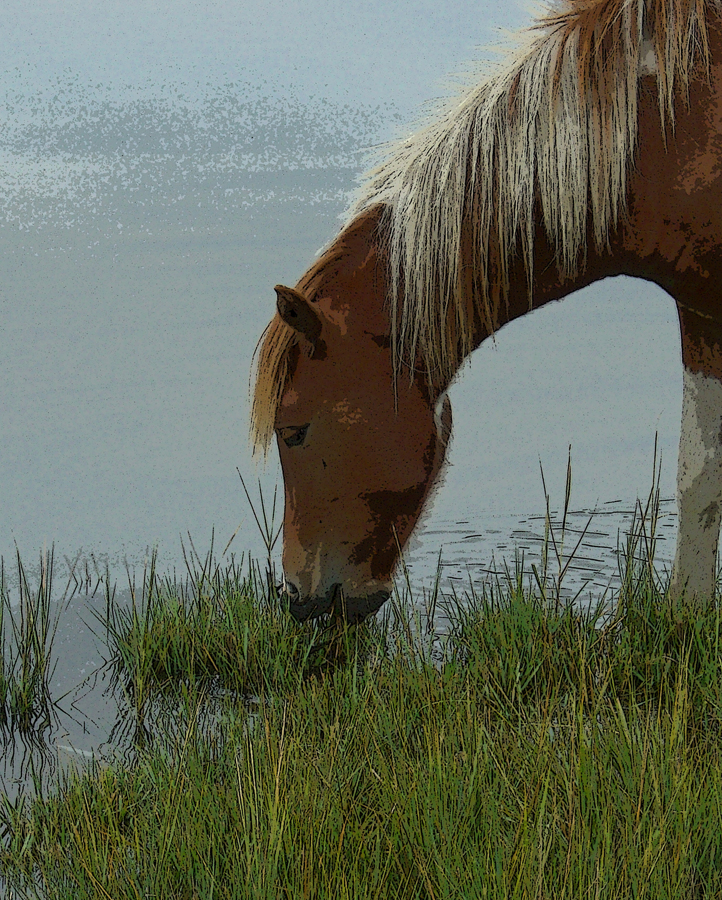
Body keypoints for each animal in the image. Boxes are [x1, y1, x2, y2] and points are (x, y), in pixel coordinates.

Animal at [250, 0, 720, 624]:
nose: (295, 596)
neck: (667, 126)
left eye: (294, 431)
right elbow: (698, 474)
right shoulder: (701, 315)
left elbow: (701, 480)